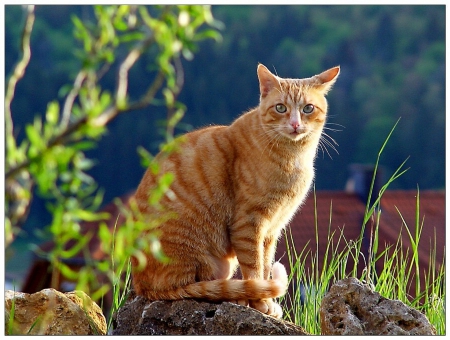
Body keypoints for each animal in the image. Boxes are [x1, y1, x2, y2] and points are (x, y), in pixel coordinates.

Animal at [132, 62, 340, 318]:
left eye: (308, 108)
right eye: (281, 108)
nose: (295, 124)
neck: (293, 157)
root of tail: (141, 286)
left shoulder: (271, 230)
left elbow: (265, 265)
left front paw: (263, 301)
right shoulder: (248, 223)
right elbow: (254, 267)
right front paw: (261, 302)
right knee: (195, 287)